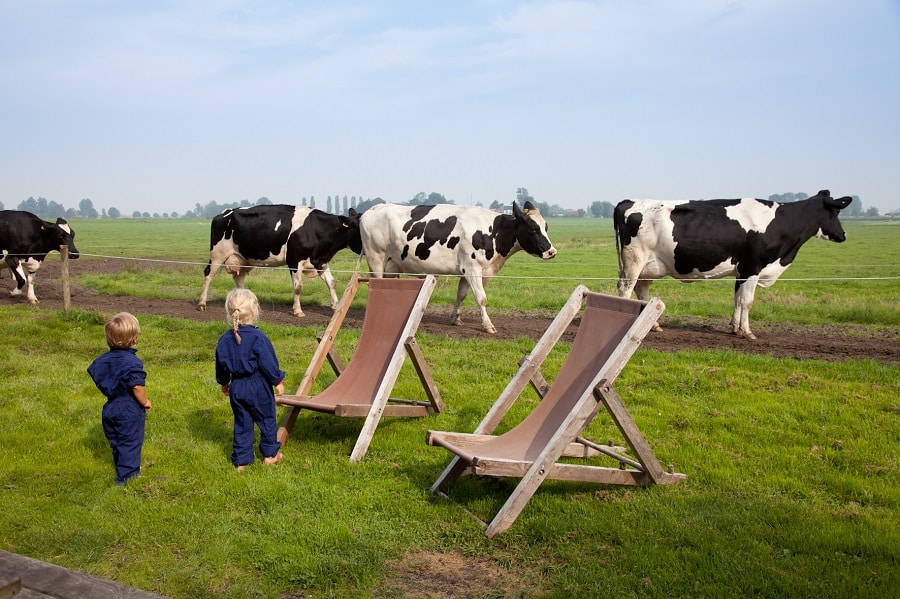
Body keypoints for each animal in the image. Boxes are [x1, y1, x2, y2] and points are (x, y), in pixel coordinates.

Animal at [197, 205, 362, 317]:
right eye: (360, 228)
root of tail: (223, 213)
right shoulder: (294, 261)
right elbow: (298, 287)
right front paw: (298, 311)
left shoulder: (320, 261)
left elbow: (332, 283)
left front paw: (336, 306)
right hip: (217, 255)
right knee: (208, 275)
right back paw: (201, 303)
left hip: (243, 258)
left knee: (239, 278)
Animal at [359, 201, 557, 334]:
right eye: (533, 229)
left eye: (546, 227)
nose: (552, 251)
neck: (493, 231)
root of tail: (373, 208)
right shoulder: (473, 268)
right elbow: (481, 298)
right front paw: (488, 325)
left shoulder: (467, 272)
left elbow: (461, 295)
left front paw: (456, 319)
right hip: (376, 259)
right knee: (375, 283)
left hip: (392, 264)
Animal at [614, 189, 853, 340]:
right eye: (835, 212)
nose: (843, 235)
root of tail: (628, 201)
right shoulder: (753, 267)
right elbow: (747, 301)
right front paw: (747, 332)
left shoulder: (742, 271)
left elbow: (737, 299)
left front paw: (734, 327)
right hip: (635, 260)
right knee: (625, 290)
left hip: (649, 266)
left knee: (642, 290)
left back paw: (653, 325)